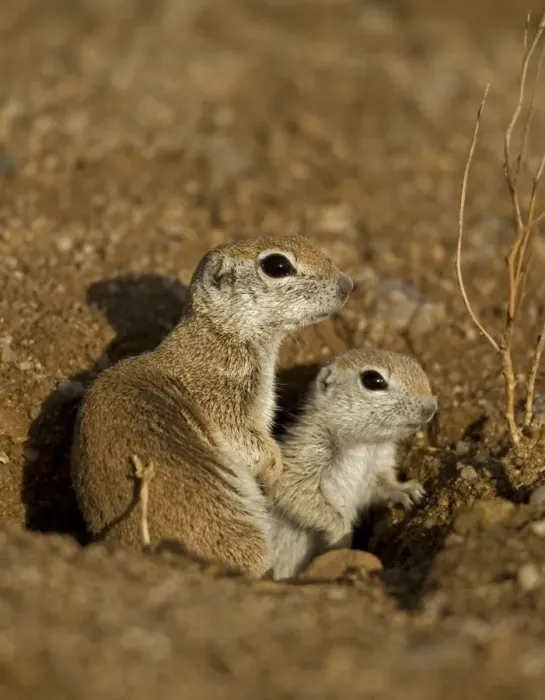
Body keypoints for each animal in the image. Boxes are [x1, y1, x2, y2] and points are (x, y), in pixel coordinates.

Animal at [70, 236, 353, 577]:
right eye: (277, 266)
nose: (348, 284)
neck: (219, 336)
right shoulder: (221, 400)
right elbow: (251, 444)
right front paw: (275, 478)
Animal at [269, 348, 437, 580]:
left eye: (417, 365)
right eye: (373, 380)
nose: (431, 407)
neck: (365, 445)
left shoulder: (377, 467)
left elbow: (383, 485)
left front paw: (407, 490)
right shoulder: (306, 455)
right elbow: (297, 495)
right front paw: (342, 534)